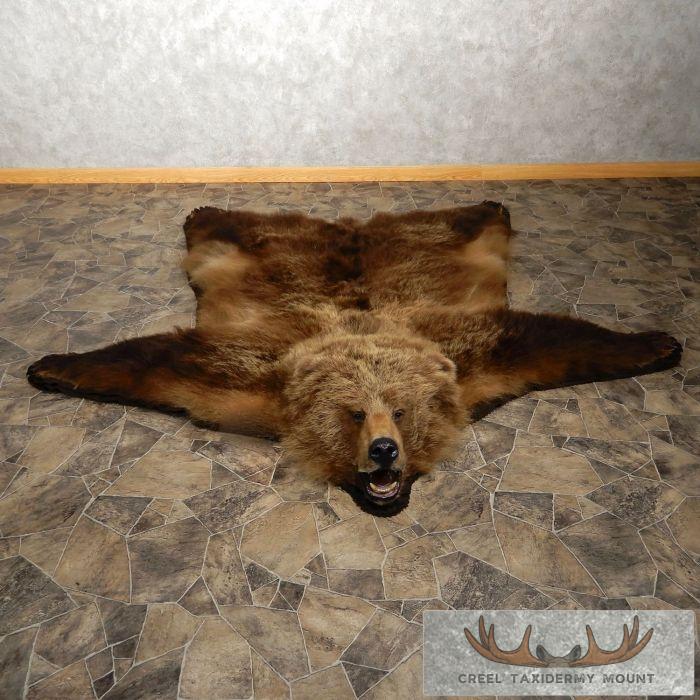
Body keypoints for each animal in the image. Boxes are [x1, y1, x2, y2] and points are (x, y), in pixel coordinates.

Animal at [27, 202, 682, 515]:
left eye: (402, 411)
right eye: (353, 414)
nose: (385, 450)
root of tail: (350, 228)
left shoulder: (479, 359)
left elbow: (556, 339)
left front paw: (658, 341)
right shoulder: (246, 378)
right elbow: (155, 360)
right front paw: (52, 364)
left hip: (429, 239)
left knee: (461, 220)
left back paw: (490, 201)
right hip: (264, 245)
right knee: (234, 225)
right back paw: (203, 211)